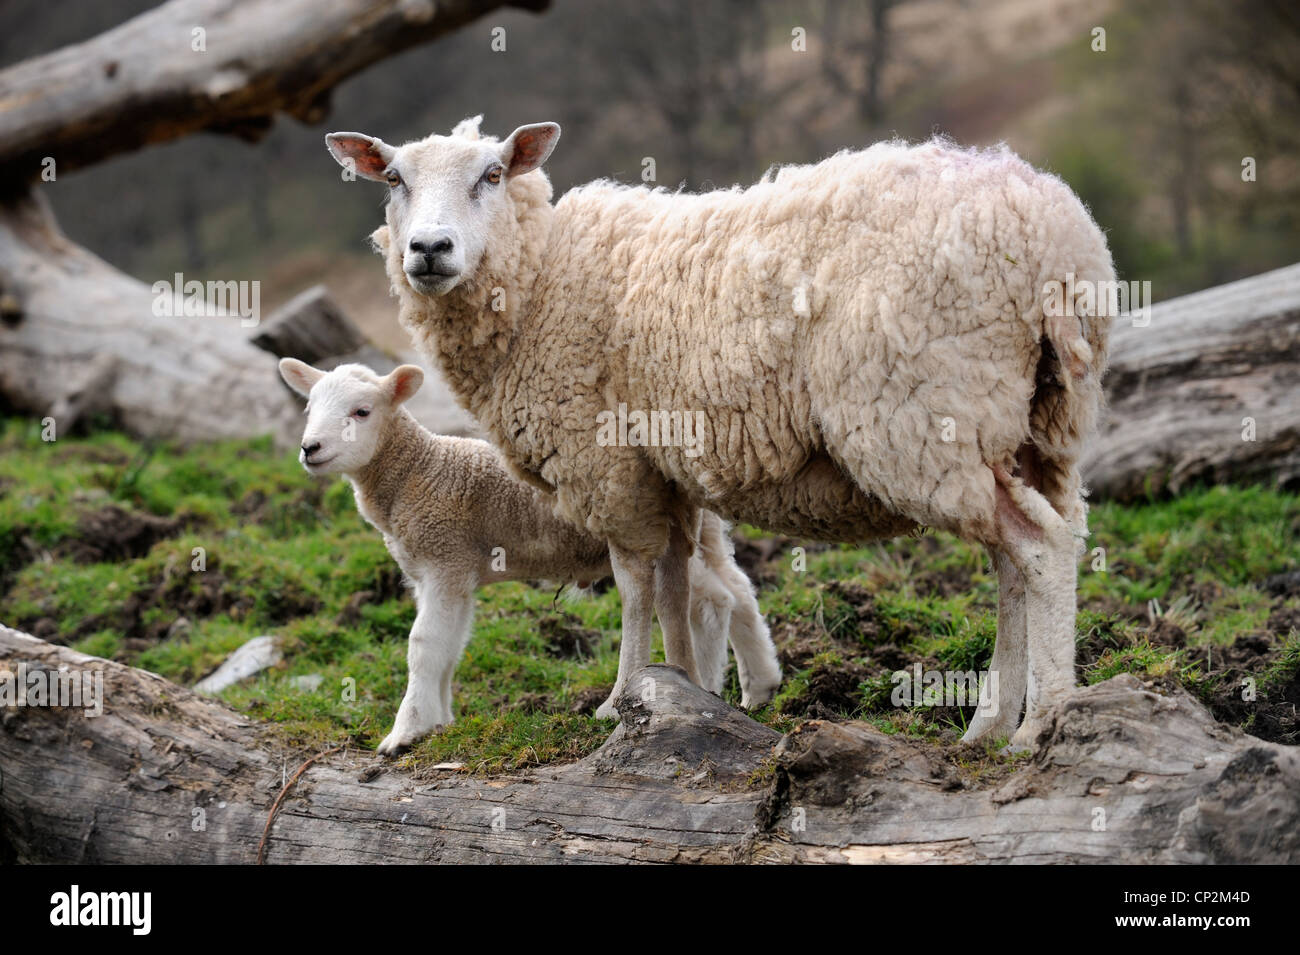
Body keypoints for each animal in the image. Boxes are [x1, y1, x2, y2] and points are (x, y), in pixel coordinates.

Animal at [278, 356, 774, 753]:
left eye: (361, 412)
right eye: (309, 409)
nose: (309, 449)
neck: (418, 471)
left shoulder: (445, 558)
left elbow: (423, 645)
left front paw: (404, 732)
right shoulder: (449, 572)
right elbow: (450, 646)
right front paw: (440, 722)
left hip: (653, 530)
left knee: (710, 600)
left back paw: (702, 685)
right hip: (705, 531)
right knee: (737, 590)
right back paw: (758, 687)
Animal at [327, 119, 1118, 748]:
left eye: (491, 174)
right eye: (393, 178)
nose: (429, 249)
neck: (541, 279)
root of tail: (1053, 233)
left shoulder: (607, 465)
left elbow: (635, 585)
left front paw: (621, 698)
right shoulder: (664, 472)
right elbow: (679, 585)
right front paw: (683, 686)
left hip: (924, 415)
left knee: (1040, 549)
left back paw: (1041, 724)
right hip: (1037, 427)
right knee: (1021, 558)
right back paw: (992, 723)